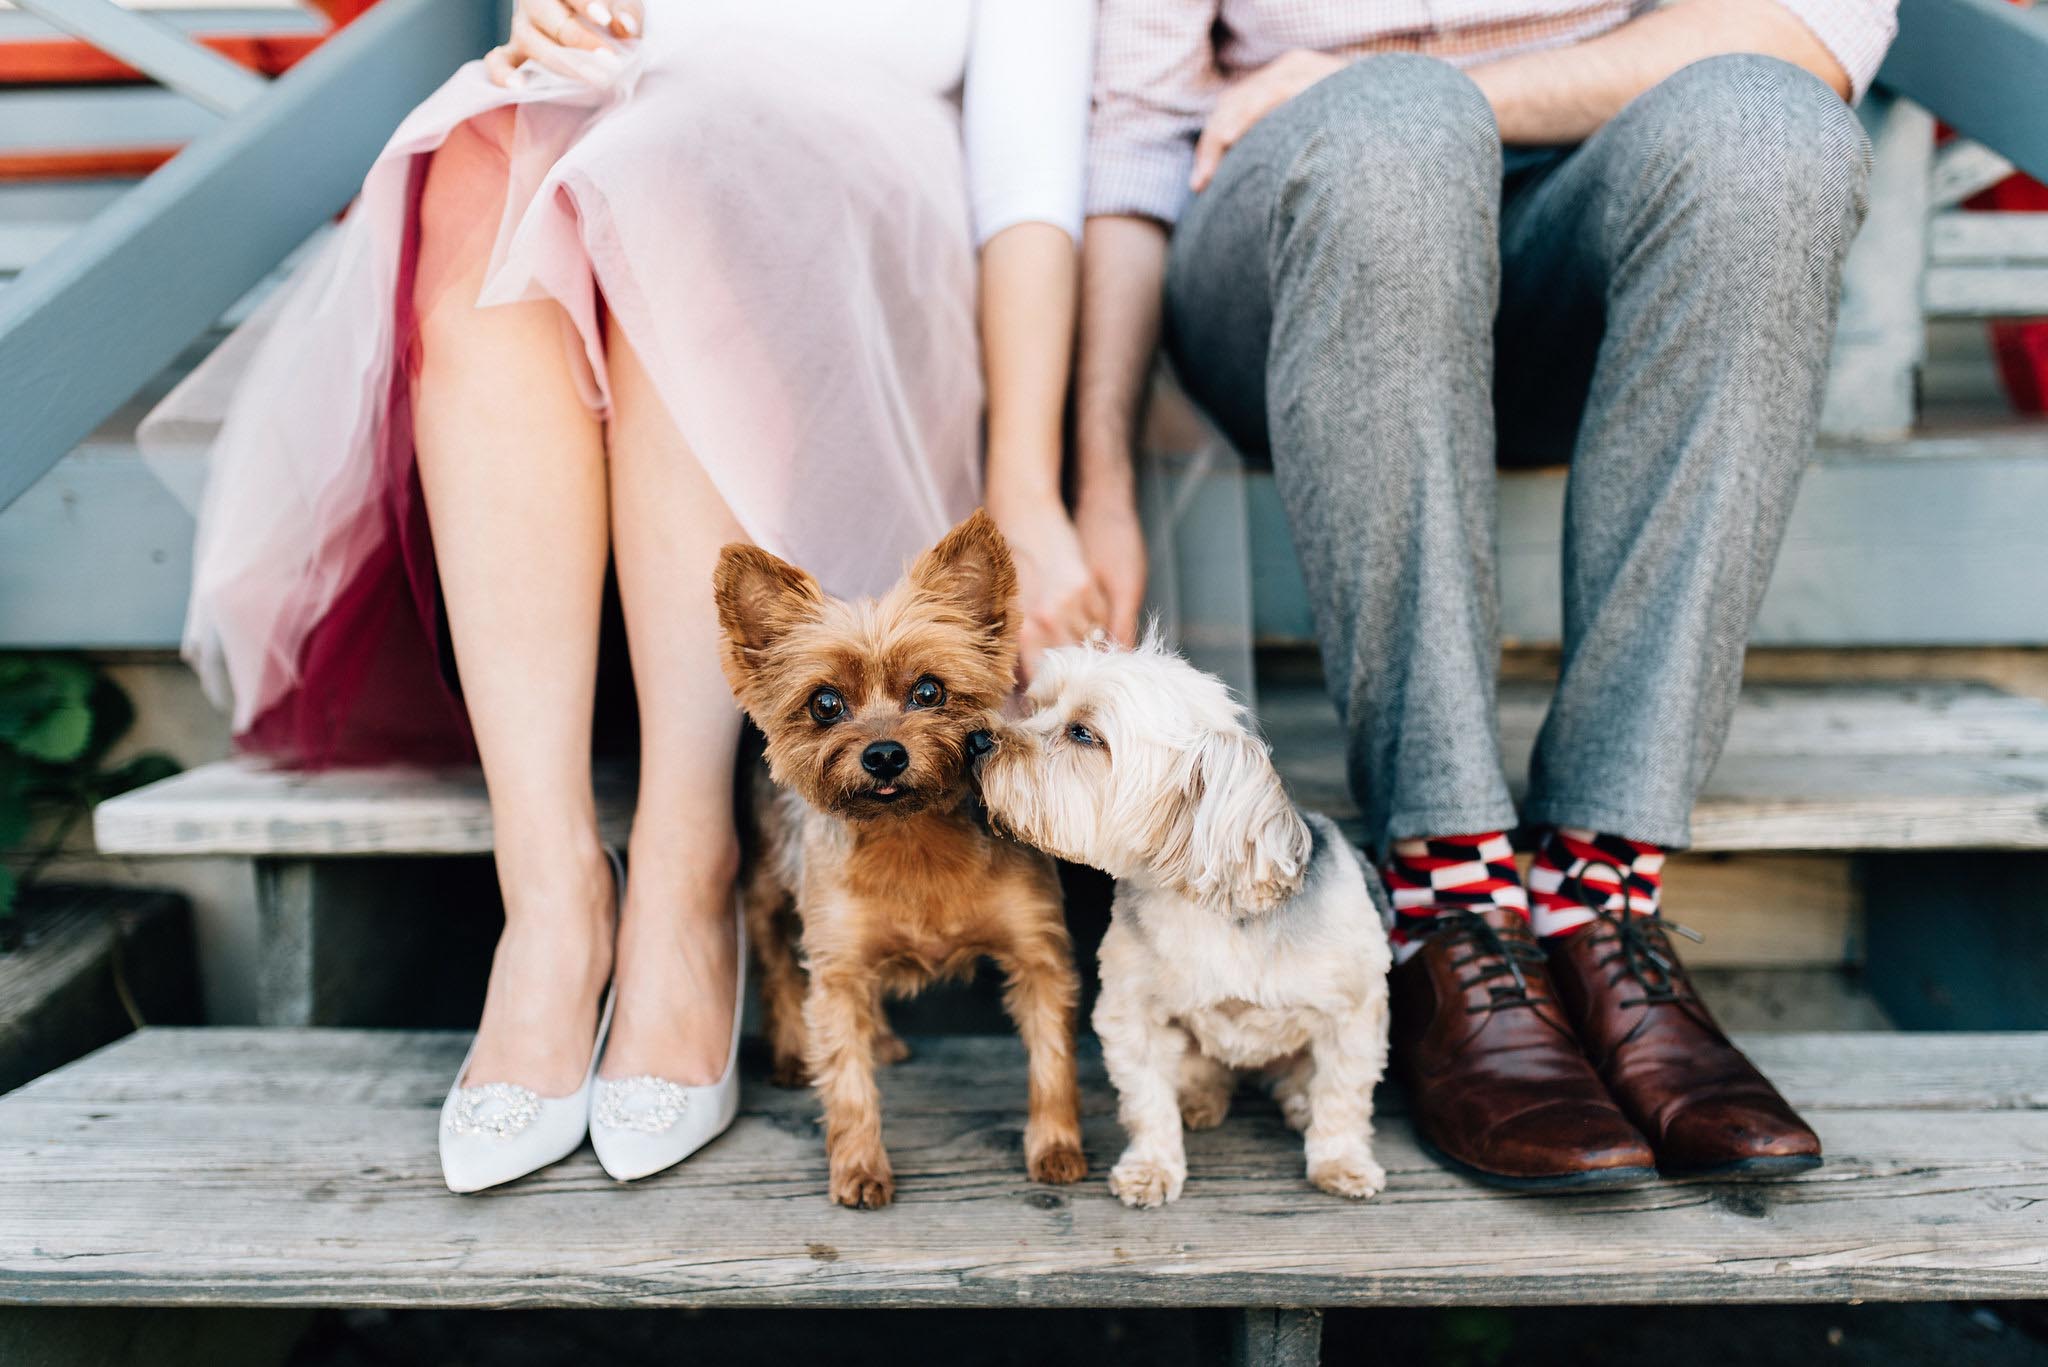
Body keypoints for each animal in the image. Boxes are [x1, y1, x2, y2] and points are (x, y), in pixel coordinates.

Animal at [974, 635, 1392, 1205]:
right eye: (1036, 706)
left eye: (1084, 734)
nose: (976, 740)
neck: (1199, 905)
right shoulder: (1132, 1014)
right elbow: (1149, 1101)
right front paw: (1152, 1167)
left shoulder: (1352, 1014)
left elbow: (1341, 1096)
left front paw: (1341, 1161)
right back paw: (1199, 1099)